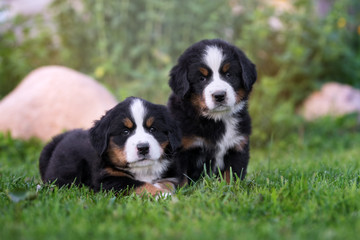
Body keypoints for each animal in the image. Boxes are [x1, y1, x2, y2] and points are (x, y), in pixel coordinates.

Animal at [38, 96, 183, 196]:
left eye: (153, 129)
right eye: (125, 132)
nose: (143, 148)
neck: (143, 170)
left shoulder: (170, 175)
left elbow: (168, 183)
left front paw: (164, 191)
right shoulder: (108, 180)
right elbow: (140, 185)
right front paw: (163, 195)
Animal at [168, 38, 256, 184]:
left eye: (228, 74)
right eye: (201, 78)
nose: (219, 95)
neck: (217, 120)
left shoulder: (238, 146)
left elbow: (232, 176)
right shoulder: (182, 149)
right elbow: (181, 179)